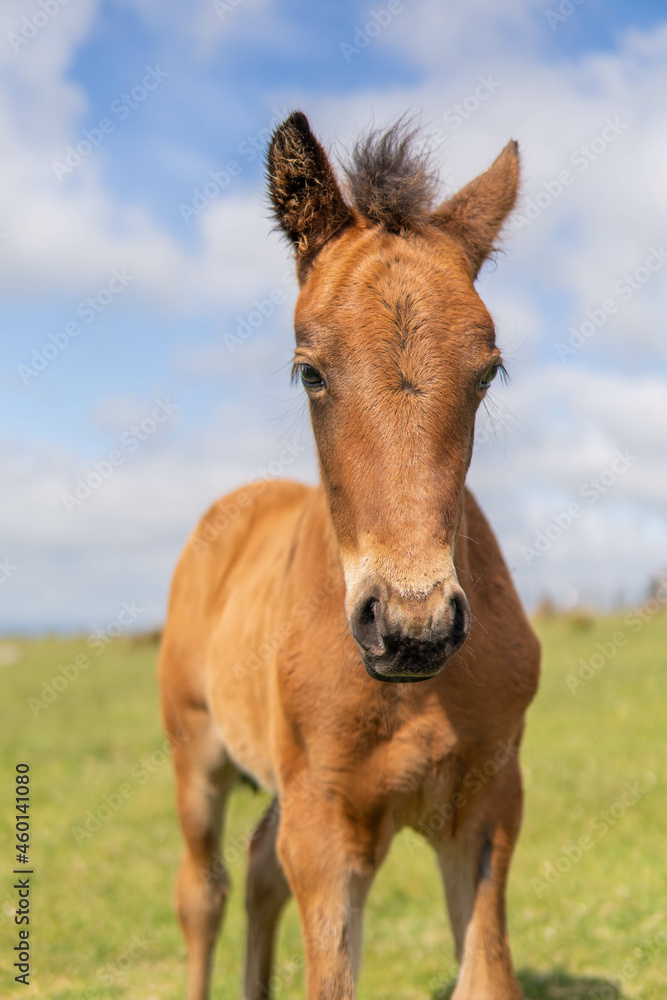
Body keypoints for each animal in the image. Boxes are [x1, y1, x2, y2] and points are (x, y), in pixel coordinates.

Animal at [160, 111, 544, 1000]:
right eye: (310, 373)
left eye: (487, 371)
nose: (411, 628)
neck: (413, 693)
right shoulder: (323, 827)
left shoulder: (487, 809)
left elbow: (487, 977)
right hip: (194, 750)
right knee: (203, 890)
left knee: (255, 871)